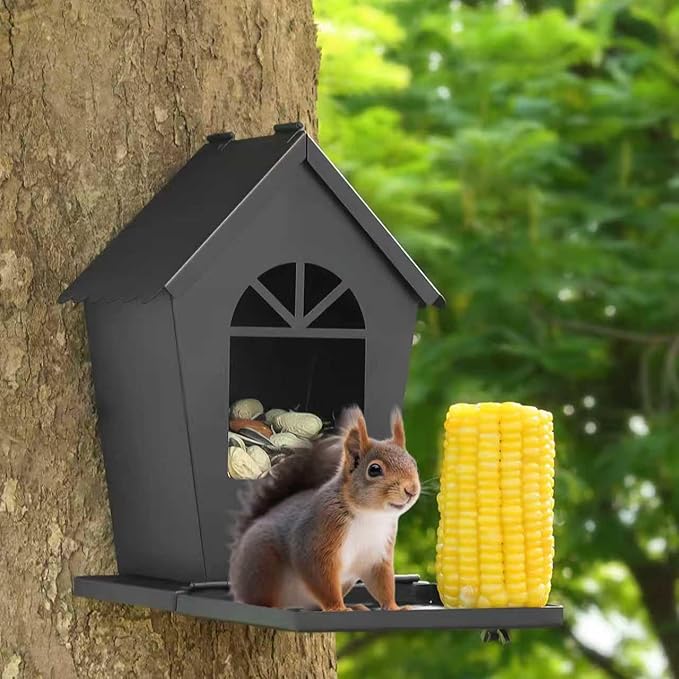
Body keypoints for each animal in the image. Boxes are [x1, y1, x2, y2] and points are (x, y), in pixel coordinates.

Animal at [228, 406, 421, 611]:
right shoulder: (318, 537)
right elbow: (320, 577)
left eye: (413, 463)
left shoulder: (377, 556)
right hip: (262, 566)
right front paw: (338, 608)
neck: (369, 516)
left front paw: (395, 607)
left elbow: (383, 584)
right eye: (374, 469)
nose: (411, 490)